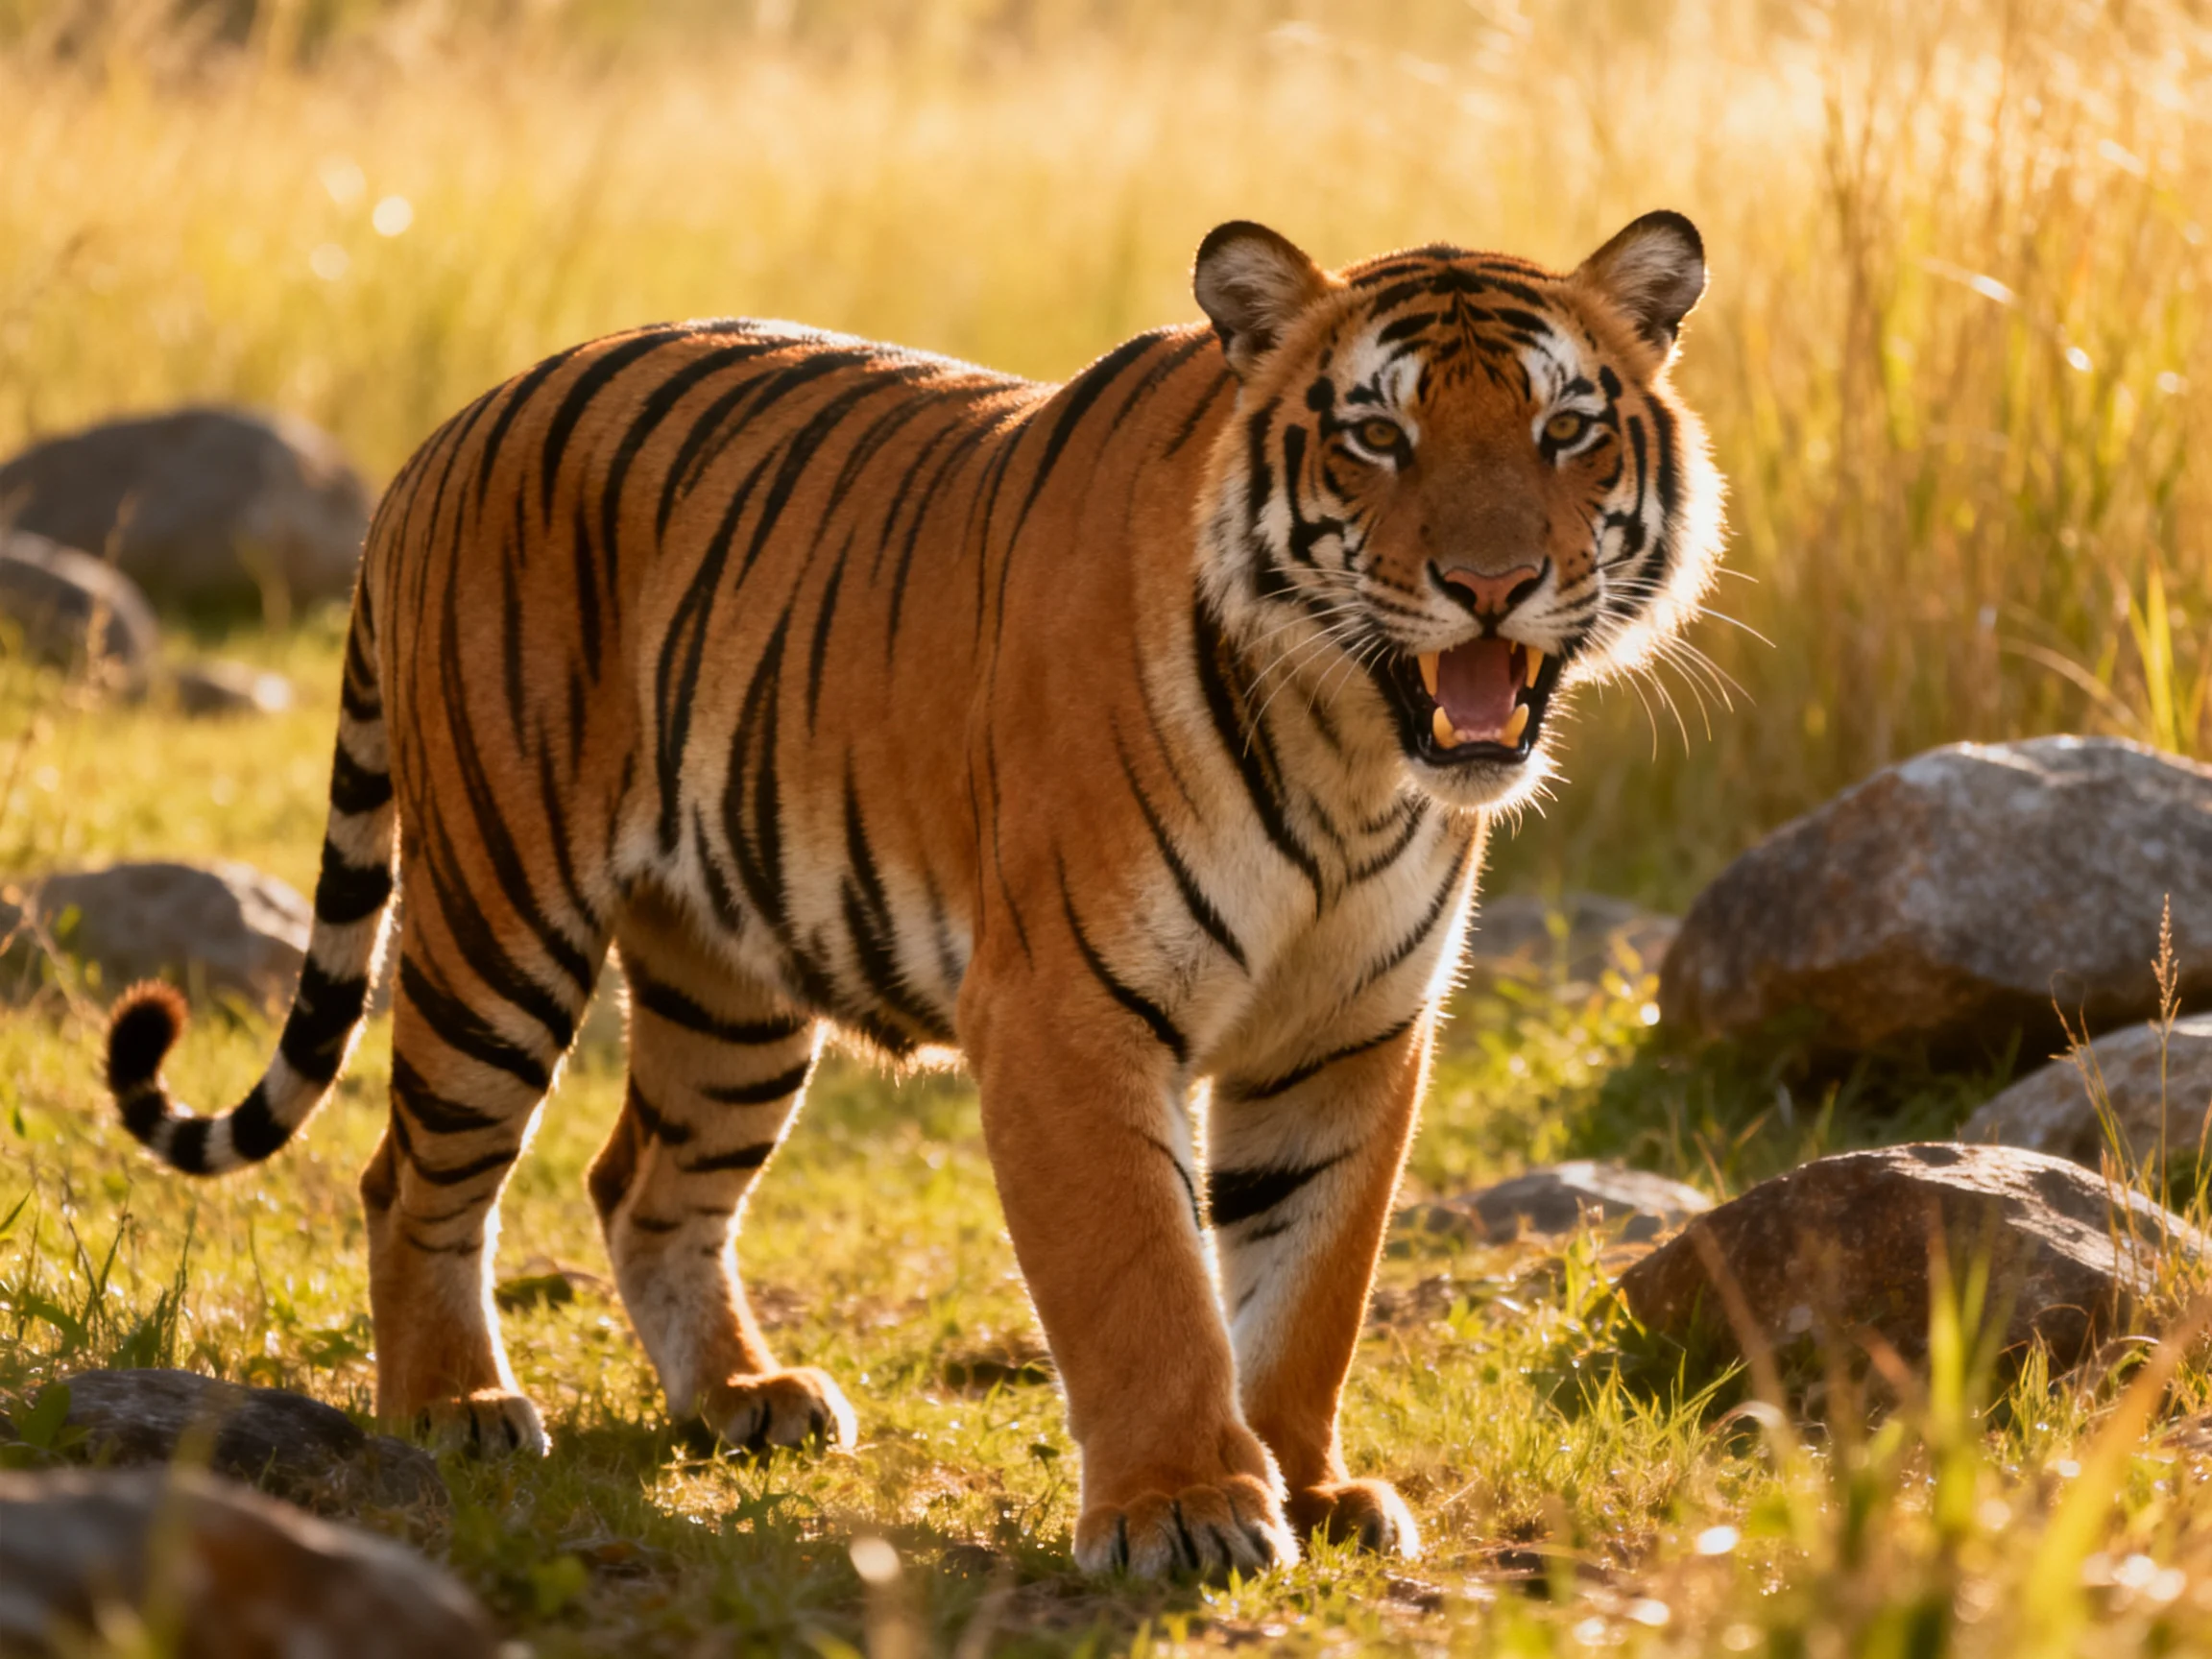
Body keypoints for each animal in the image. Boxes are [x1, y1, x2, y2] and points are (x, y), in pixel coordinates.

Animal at [102, 211, 1721, 1577]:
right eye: (1377, 435)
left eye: (1566, 431)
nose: (1492, 585)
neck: (1350, 750)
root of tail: (445, 436)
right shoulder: (1071, 1011)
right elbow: (1143, 1283)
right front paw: (1186, 1508)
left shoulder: (1348, 1035)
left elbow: (1308, 1284)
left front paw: (1309, 1487)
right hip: (503, 916)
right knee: (417, 1172)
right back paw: (457, 1408)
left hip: (731, 988)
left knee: (645, 1183)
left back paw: (744, 1396)